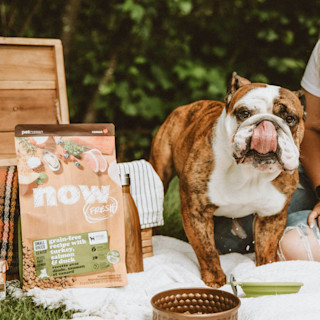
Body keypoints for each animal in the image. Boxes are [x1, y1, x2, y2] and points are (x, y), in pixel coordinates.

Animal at [150, 73, 304, 288]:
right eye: (244, 113)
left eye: (290, 118)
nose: (267, 123)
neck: (250, 173)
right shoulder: (196, 212)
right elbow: (207, 251)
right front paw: (215, 281)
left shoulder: (271, 216)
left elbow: (266, 249)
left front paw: (266, 272)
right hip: (159, 172)